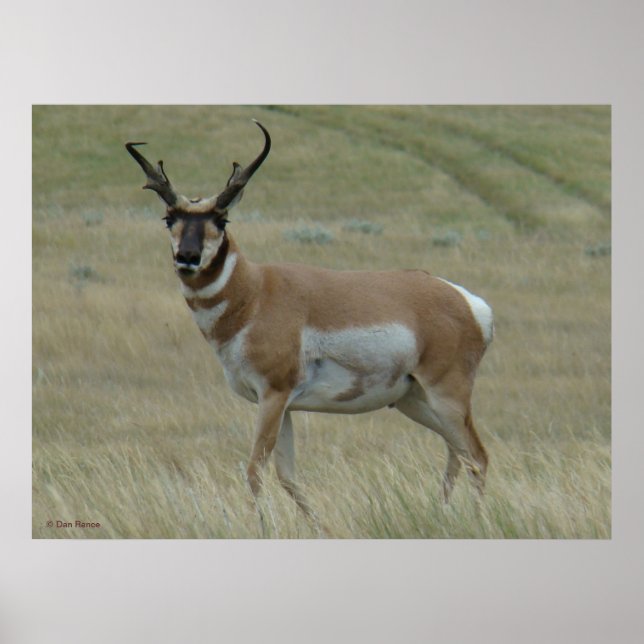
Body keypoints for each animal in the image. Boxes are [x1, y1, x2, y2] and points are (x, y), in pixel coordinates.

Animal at [126, 120, 493, 530]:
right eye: (169, 218)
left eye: (221, 219)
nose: (187, 257)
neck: (255, 292)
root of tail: (466, 301)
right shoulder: (284, 406)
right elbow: (287, 475)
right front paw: (319, 526)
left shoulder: (273, 395)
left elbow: (255, 469)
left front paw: (262, 528)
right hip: (414, 400)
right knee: (456, 452)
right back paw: (441, 511)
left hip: (447, 395)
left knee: (477, 456)